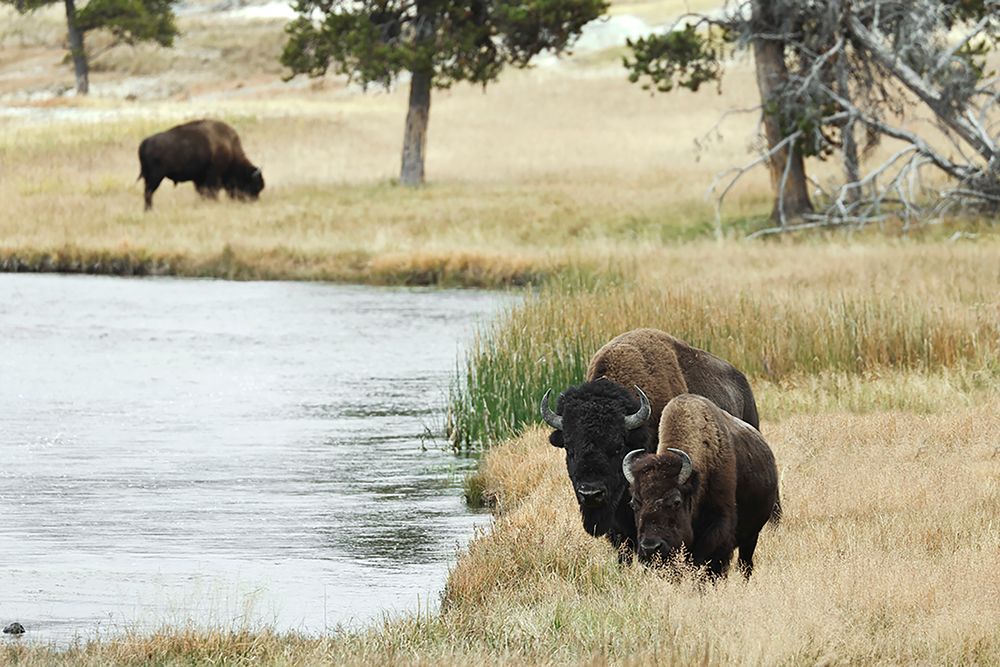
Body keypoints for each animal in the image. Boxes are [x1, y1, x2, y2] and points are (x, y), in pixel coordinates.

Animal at [623, 393, 780, 577]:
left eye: (676, 501)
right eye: (633, 503)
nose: (650, 547)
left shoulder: (719, 527)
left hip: (752, 536)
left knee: (745, 564)